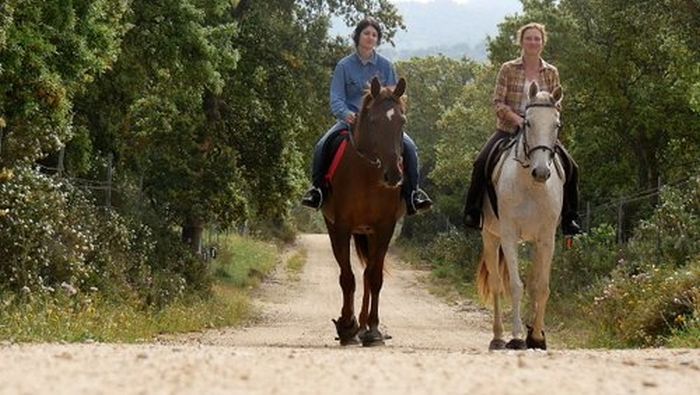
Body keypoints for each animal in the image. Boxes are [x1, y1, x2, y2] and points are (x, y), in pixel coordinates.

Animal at [322, 76, 404, 346]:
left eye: (402, 121)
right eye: (374, 121)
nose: (393, 175)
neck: (368, 172)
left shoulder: (385, 227)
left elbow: (375, 277)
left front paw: (373, 328)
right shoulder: (342, 226)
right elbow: (347, 277)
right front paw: (347, 326)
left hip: (370, 233)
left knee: (369, 274)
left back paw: (366, 325)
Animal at [478, 82, 568, 352]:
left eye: (556, 125)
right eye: (527, 123)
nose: (541, 172)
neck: (531, 186)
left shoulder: (546, 239)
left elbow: (541, 287)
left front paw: (536, 336)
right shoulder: (509, 236)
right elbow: (516, 286)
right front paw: (517, 337)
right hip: (490, 237)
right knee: (497, 284)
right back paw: (498, 336)